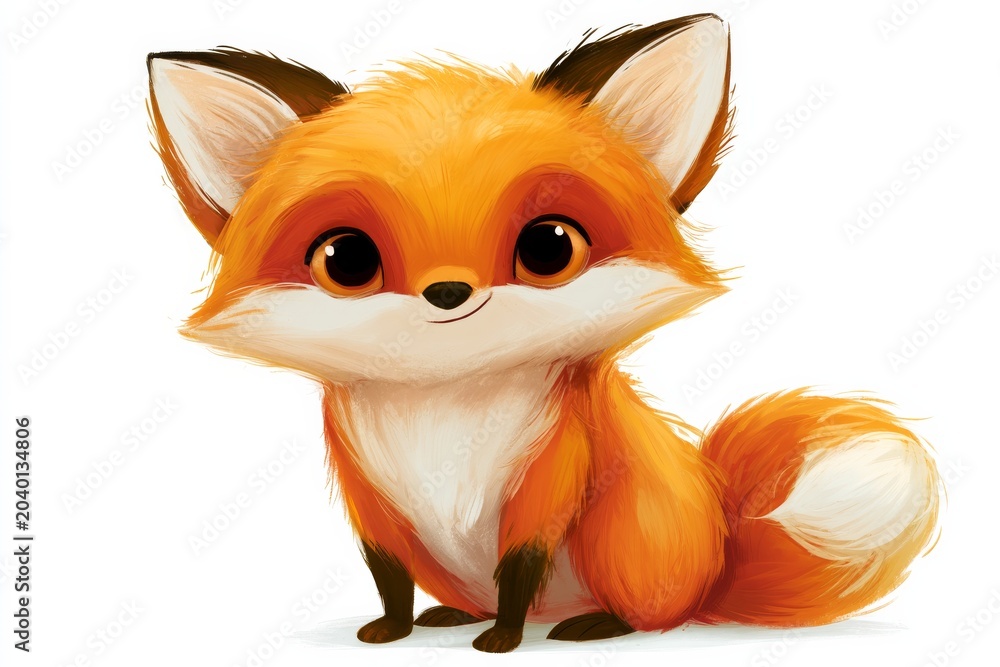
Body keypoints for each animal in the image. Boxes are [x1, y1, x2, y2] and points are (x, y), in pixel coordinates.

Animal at [147, 14, 941, 653]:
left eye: (548, 247)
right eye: (347, 259)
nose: (448, 293)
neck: (444, 410)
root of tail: (717, 555)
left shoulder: (550, 473)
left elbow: (517, 567)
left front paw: (502, 640)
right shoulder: (368, 494)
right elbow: (387, 575)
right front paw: (395, 630)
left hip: (619, 542)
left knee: (651, 615)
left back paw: (592, 623)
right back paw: (453, 616)